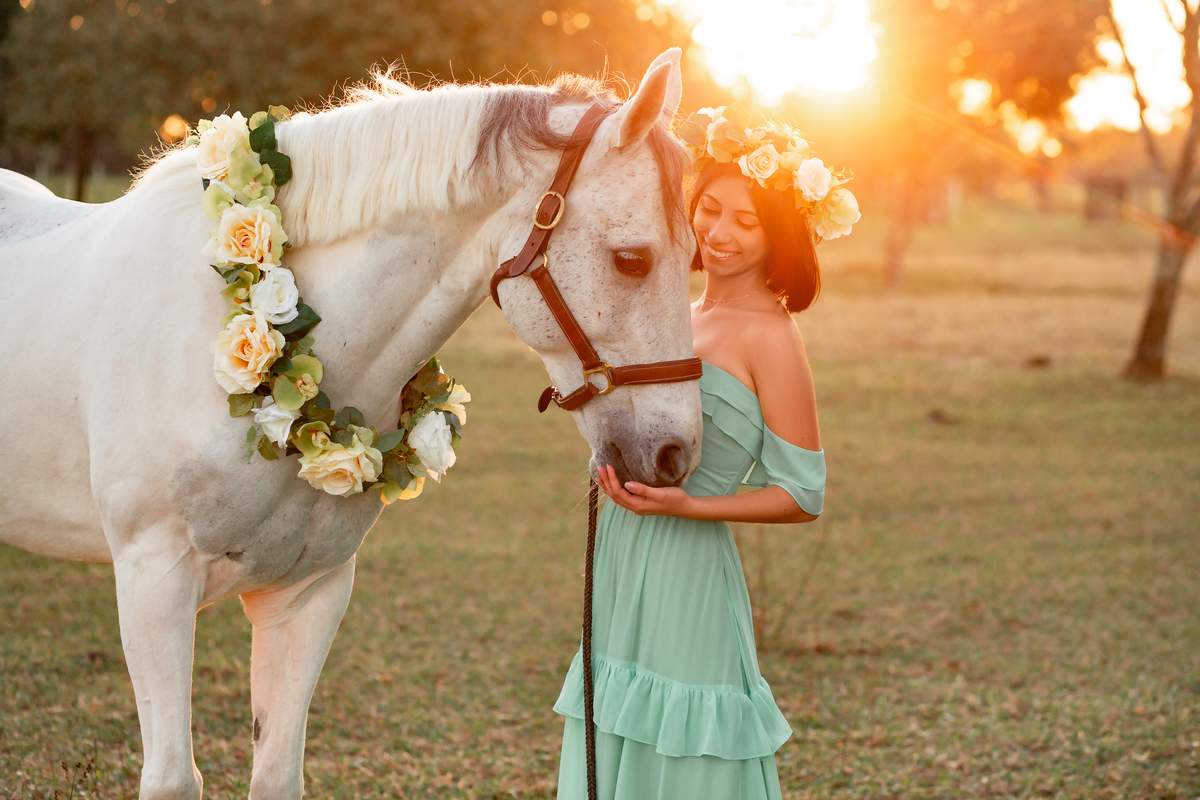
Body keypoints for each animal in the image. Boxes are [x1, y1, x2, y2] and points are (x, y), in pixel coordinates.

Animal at [0, 49, 702, 799]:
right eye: (632, 259)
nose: (675, 452)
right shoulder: (152, 580)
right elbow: (172, 780)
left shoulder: (307, 594)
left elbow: (278, 775)